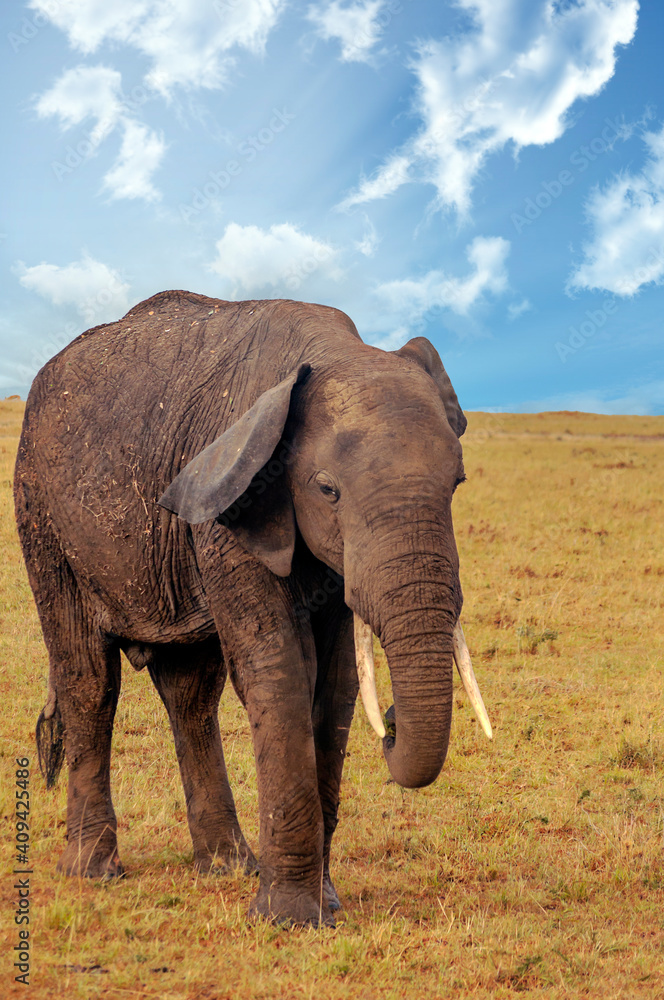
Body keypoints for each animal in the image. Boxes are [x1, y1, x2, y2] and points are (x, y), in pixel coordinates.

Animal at [14, 289, 491, 927]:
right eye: (327, 490)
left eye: (457, 483)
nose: (391, 724)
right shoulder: (233, 505)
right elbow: (279, 671)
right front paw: (288, 919)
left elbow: (336, 685)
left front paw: (324, 906)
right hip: (41, 513)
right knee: (88, 678)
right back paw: (94, 871)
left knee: (190, 692)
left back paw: (226, 866)